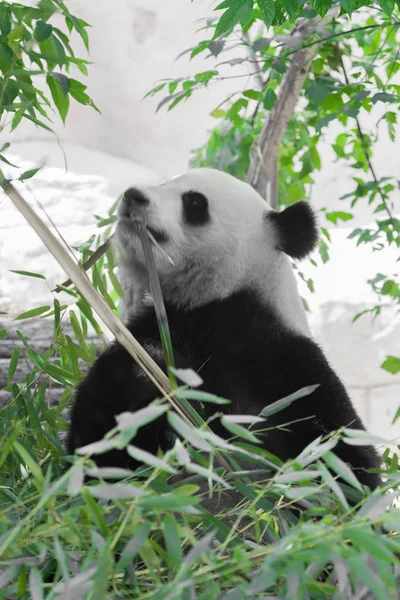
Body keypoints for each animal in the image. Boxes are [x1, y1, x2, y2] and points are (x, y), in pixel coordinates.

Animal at [68, 166, 382, 490]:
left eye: (195, 202)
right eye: (164, 184)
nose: (133, 196)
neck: (217, 306)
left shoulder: (290, 364)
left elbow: (345, 461)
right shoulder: (158, 327)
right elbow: (98, 452)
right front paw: (150, 369)